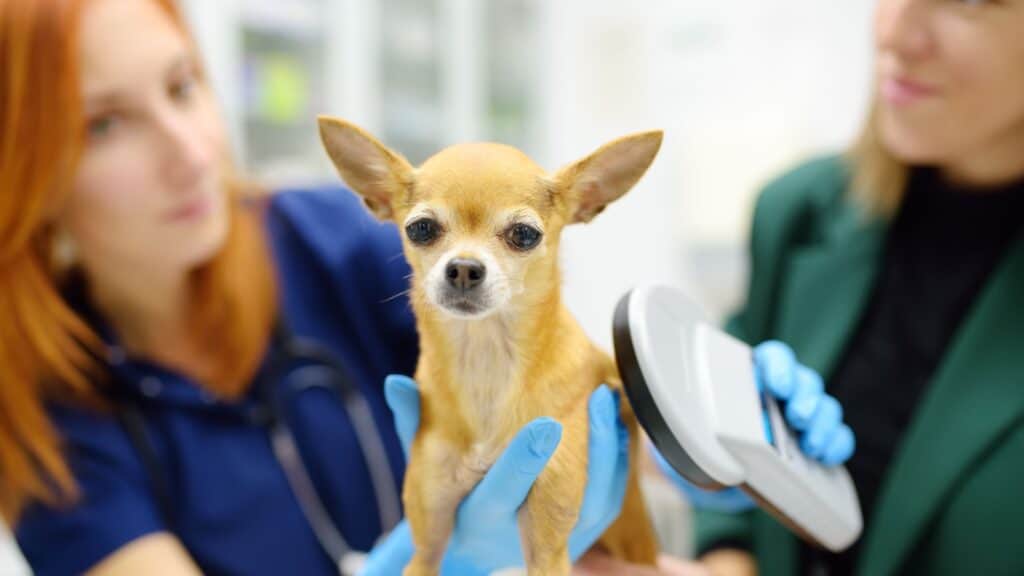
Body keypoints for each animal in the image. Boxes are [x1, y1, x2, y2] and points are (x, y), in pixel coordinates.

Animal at [315, 115, 659, 569]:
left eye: (525, 235)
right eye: (421, 229)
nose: (463, 267)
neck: (485, 358)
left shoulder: (547, 552)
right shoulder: (427, 546)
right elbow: (427, 553)